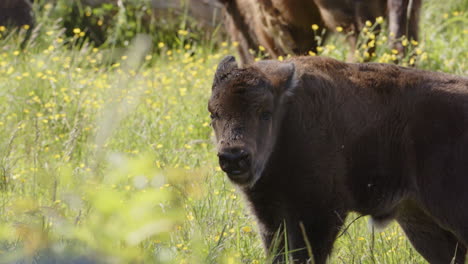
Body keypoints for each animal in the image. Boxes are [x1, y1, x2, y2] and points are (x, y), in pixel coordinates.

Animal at [208, 54, 468, 262]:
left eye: (265, 113)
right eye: (213, 113)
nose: (234, 156)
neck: (288, 118)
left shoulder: (319, 213)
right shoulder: (270, 216)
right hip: (420, 219)